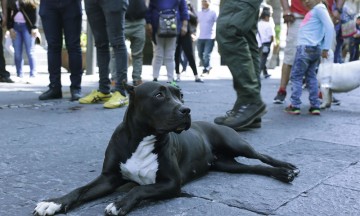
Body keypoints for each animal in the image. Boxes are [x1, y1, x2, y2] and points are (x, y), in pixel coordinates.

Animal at [33, 82, 300, 215]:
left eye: (180, 95)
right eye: (159, 95)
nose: (186, 109)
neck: (143, 138)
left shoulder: (171, 183)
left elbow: (138, 189)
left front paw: (120, 203)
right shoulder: (108, 178)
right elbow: (79, 190)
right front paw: (53, 202)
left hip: (236, 143)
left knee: (262, 156)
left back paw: (287, 167)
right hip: (227, 164)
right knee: (254, 168)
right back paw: (282, 174)